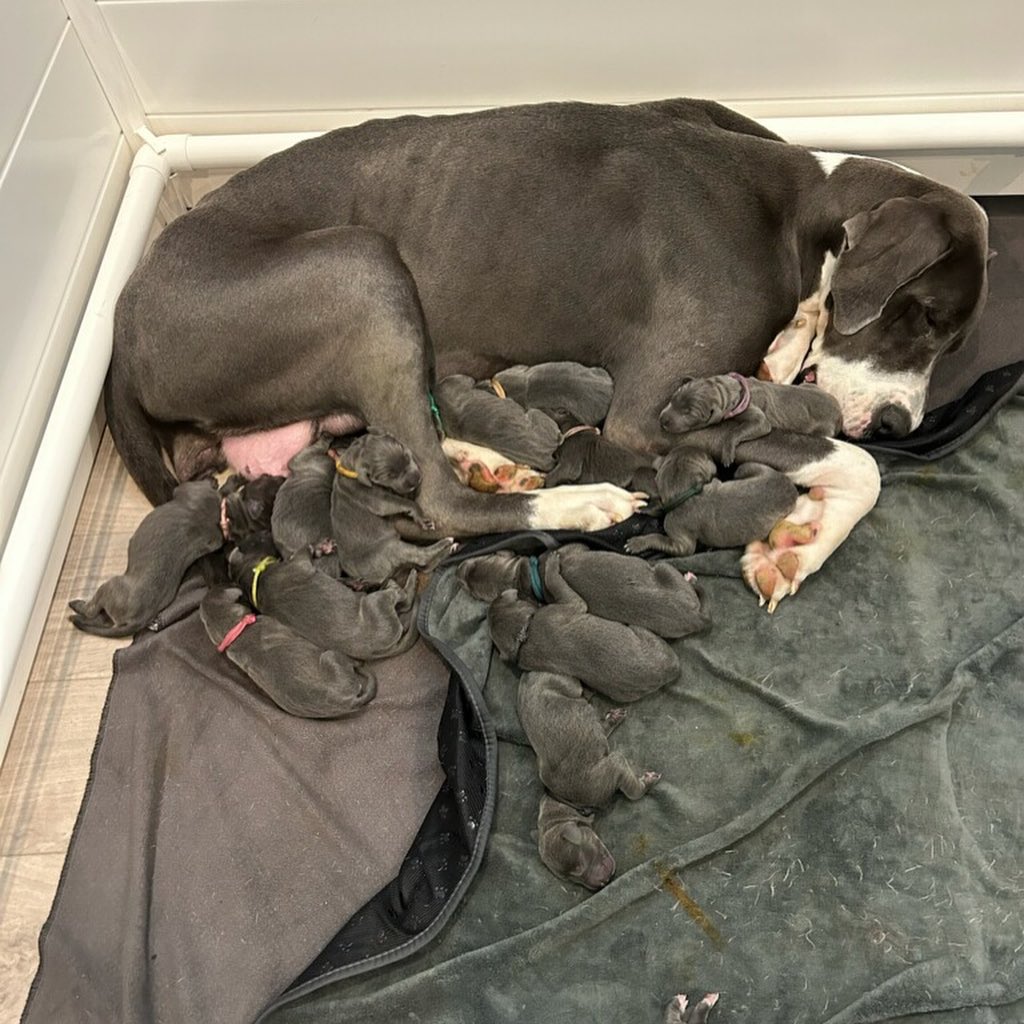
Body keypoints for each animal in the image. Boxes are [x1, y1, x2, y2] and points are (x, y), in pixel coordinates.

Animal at [659, 376, 843, 464]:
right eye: (673, 399)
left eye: (689, 414)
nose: (662, 421)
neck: (726, 390)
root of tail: (839, 413)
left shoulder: (753, 412)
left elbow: (757, 425)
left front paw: (727, 452)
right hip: (810, 386)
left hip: (824, 429)